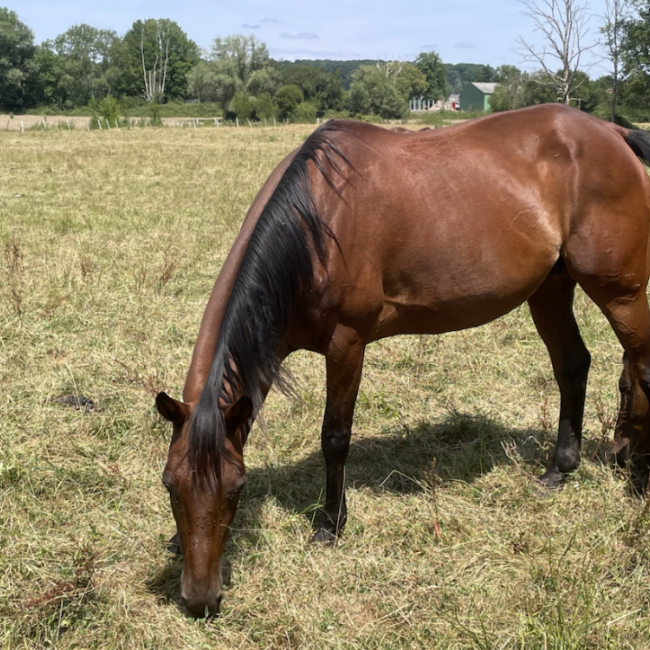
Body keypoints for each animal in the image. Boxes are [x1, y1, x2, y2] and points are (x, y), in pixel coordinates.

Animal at [156, 104, 650, 617]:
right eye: (170, 485)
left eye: (237, 487)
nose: (199, 599)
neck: (315, 225)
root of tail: (613, 133)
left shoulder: (347, 343)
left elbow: (335, 438)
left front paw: (330, 524)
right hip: (551, 289)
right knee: (574, 365)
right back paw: (560, 468)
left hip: (622, 295)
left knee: (641, 368)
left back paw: (637, 474)